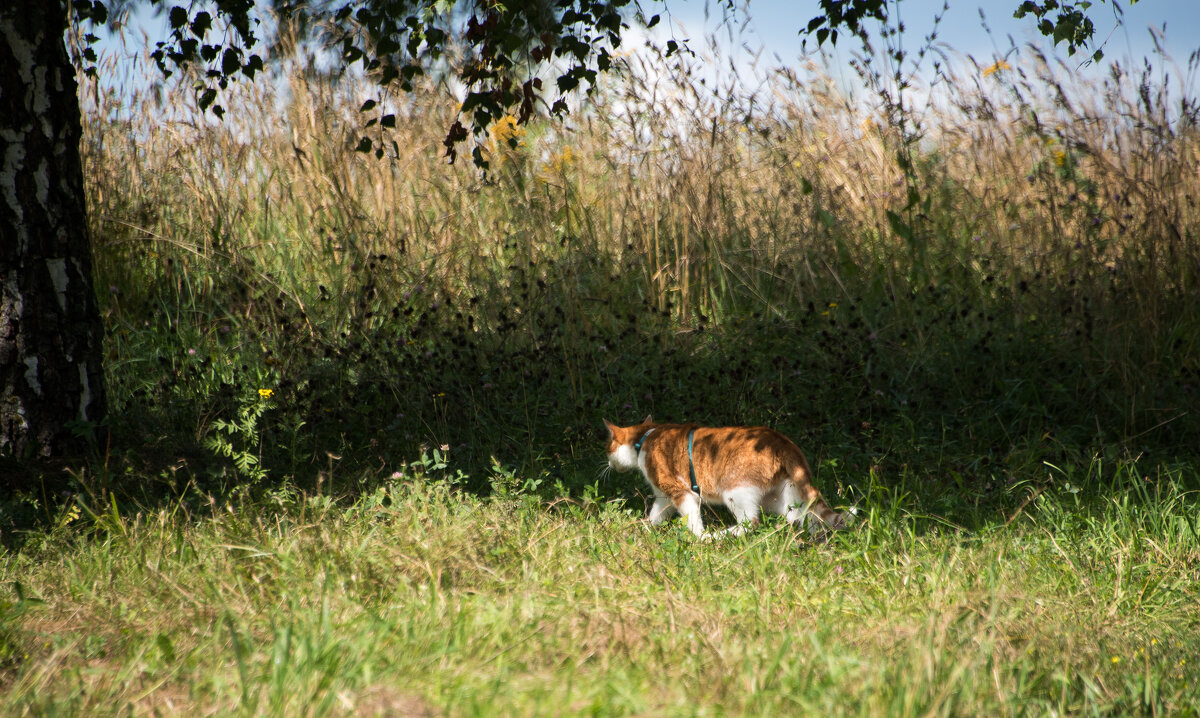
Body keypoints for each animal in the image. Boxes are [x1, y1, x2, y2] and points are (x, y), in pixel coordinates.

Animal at [604, 415, 849, 540]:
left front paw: (699, 537)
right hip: (785, 497)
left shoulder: (681, 491)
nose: (608, 463)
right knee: (803, 520)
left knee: (751, 522)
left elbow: (692, 519)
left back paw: (718, 536)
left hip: (734, 490)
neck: (645, 438)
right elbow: (656, 515)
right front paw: (643, 528)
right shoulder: (664, 497)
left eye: (608, 448)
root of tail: (783, 442)